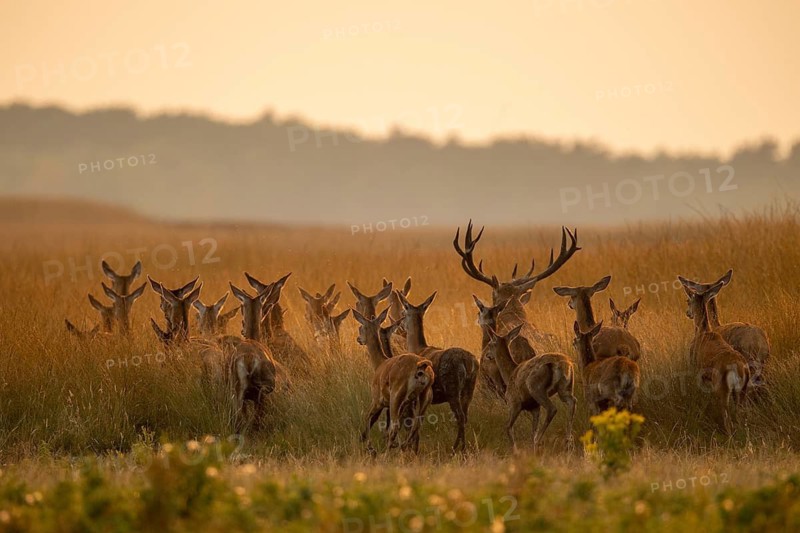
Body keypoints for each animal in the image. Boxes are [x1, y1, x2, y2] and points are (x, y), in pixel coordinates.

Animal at [353, 308, 434, 454]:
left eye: (361, 327)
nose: (359, 339)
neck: (380, 364)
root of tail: (422, 366)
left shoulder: (377, 400)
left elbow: (368, 417)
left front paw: (370, 448)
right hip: (424, 397)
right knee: (416, 425)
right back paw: (405, 448)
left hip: (396, 397)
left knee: (395, 426)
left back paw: (387, 453)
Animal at [396, 291, 479, 453]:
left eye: (403, 313)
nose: (399, 326)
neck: (418, 348)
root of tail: (468, 362)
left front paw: (412, 448)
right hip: (470, 388)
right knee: (465, 416)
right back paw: (461, 448)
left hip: (452, 386)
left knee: (460, 417)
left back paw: (457, 449)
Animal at [483, 324, 576, 452]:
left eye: (489, 344)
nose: (487, 355)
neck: (510, 373)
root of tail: (563, 364)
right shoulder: (534, 407)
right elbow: (532, 430)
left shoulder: (514, 402)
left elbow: (508, 427)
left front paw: (515, 451)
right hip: (565, 387)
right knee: (572, 401)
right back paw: (568, 441)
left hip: (535, 387)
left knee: (552, 408)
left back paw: (539, 441)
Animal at [677, 278, 750, 433]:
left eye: (688, 300)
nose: (687, 313)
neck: (703, 332)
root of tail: (740, 368)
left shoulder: (696, 369)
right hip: (742, 391)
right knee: (741, 416)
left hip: (723, 389)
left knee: (728, 420)